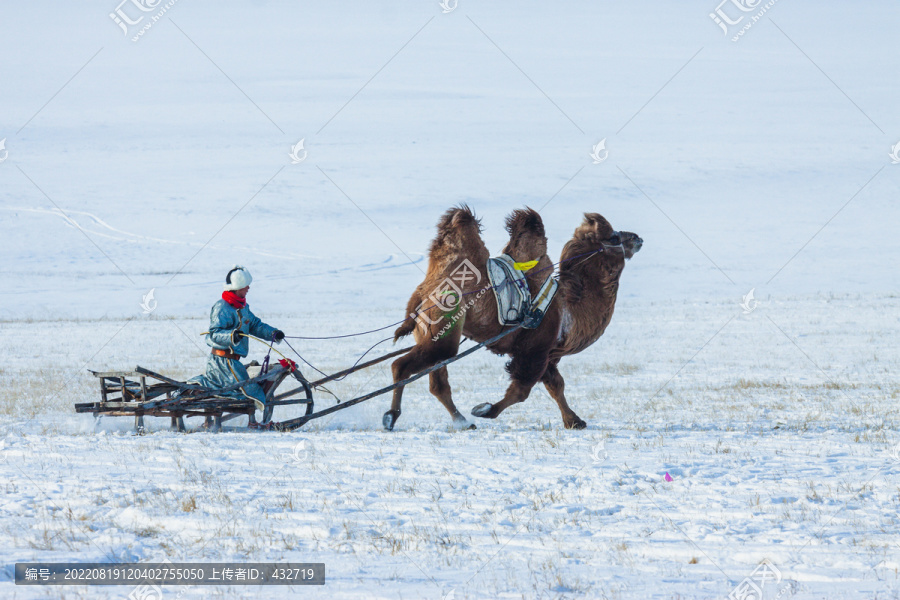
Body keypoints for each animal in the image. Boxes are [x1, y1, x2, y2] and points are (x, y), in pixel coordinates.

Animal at [384, 207, 640, 432]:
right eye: (614, 236)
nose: (637, 238)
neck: (571, 305)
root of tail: (424, 294)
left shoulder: (546, 353)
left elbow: (556, 385)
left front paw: (574, 421)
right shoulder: (535, 350)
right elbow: (522, 391)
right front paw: (485, 409)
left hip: (433, 333)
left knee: (437, 383)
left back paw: (462, 421)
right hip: (442, 327)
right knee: (402, 366)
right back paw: (392, 417)